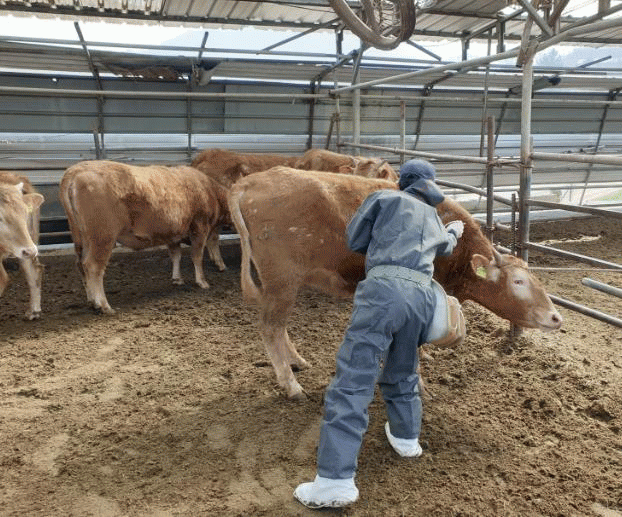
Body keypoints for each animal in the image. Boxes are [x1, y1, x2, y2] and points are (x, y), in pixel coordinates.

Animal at [59, 160, 229, 314]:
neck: (210, 191)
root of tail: (76, 170)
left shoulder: (172, 234)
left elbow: (176, 256)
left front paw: (177, 279)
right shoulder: (200, 227)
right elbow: (197, 256)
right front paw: (202, 282)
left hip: (82, 237)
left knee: (80, 264)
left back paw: (91, 301)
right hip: (102, 237)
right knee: (93, 266)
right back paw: (103, 305)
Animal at [228, 167, 563, 399]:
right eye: (518, 281)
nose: (556, 317)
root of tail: (250, 182)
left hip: (281, 284)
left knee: (279, 326)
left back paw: (297, 361)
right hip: (282, 280)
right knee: (271, 327)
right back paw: (291, 384)